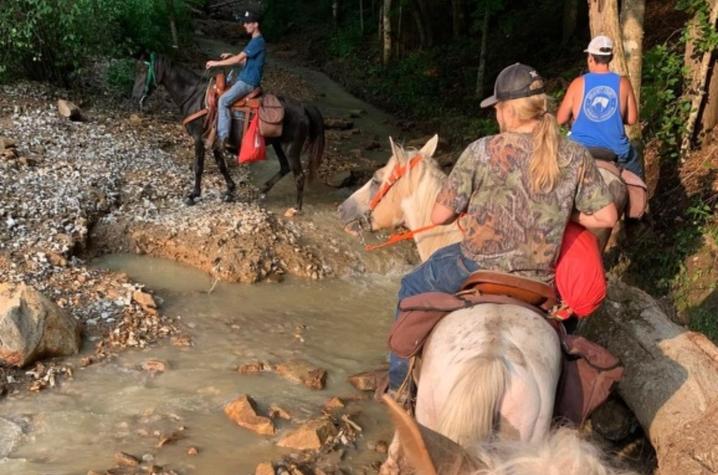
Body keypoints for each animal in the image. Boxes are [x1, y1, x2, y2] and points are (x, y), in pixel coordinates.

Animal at [132, 53, 326, 209]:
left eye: (143, 72)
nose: (134, 97)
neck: (195, 97)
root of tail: (302, 107)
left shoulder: (198, 139)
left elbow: (198, 167)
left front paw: (193, 195)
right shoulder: (213, 141)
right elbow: (221, 165)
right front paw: (230, 191)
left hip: (292, 148)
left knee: (299, 176)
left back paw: (296, 208)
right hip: (278, 144)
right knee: (285, 167)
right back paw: (264, 189)